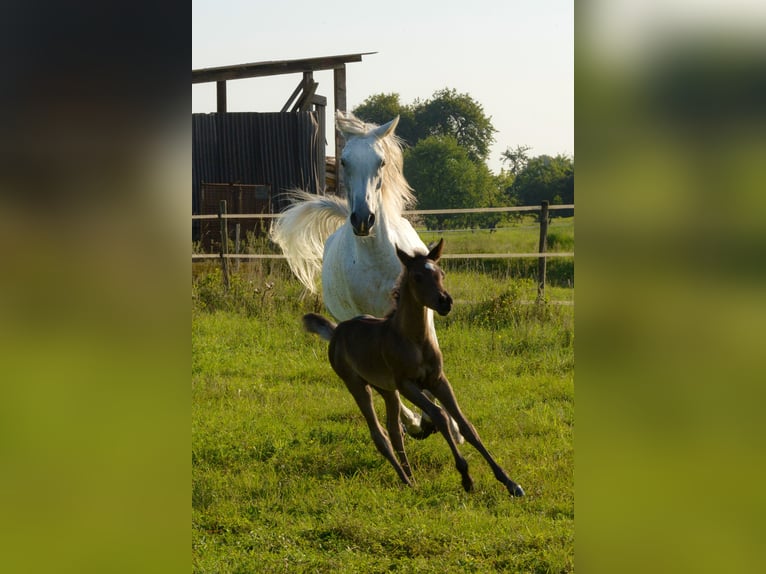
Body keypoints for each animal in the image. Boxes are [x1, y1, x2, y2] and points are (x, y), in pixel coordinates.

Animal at [272, 113, 462, 446]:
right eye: (344, 161)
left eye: (381, 161)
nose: (363, 219)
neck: (376, 258)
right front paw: (422, 421)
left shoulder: (425, 314)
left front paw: (449, 426)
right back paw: (412, 422)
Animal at [304, 240, 524, 500]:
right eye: (418, 277)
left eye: (441, 274)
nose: (445, 302)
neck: (415, 339)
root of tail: (337, 331)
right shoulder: (407, 384)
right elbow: (439, 415)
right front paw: (466, 477)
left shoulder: (438, 380)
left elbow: (466, 425)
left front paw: (510, 482)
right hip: (357, 385)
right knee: (379, 434)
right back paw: (406, 480)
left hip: (386, 389)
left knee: (393, 430)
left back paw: (411, 478)